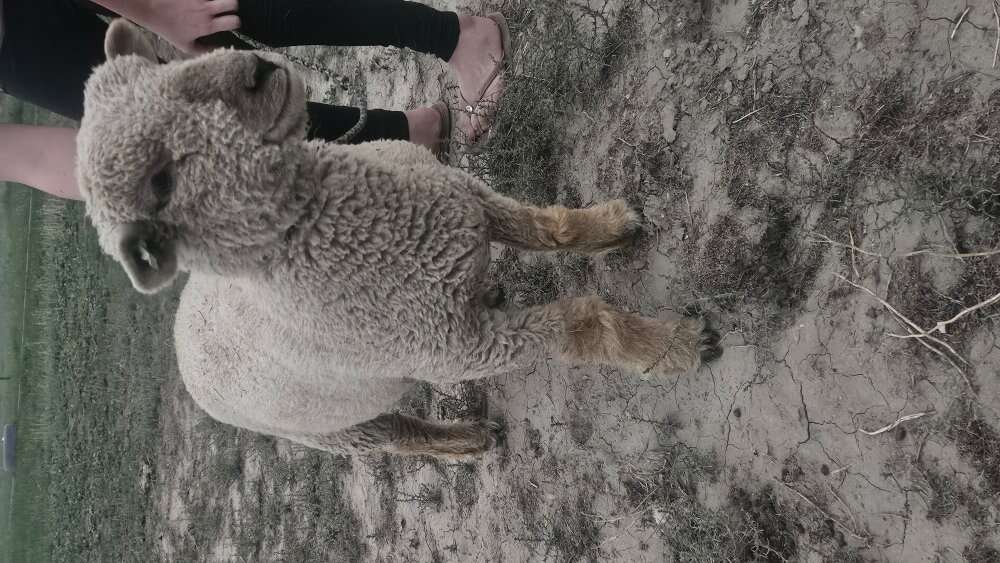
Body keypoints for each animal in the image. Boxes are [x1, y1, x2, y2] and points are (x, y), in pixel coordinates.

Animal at [76, 20, 723, 457]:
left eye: (165, 69)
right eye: (159, 182)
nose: (256, 71)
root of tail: (182, 346)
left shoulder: (466, 199)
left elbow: (546, 227)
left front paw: (612, 225)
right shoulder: (469, 349)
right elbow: (583, 323)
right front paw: (675, 347)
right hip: (340, 429)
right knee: (396, 440)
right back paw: (466, 442)